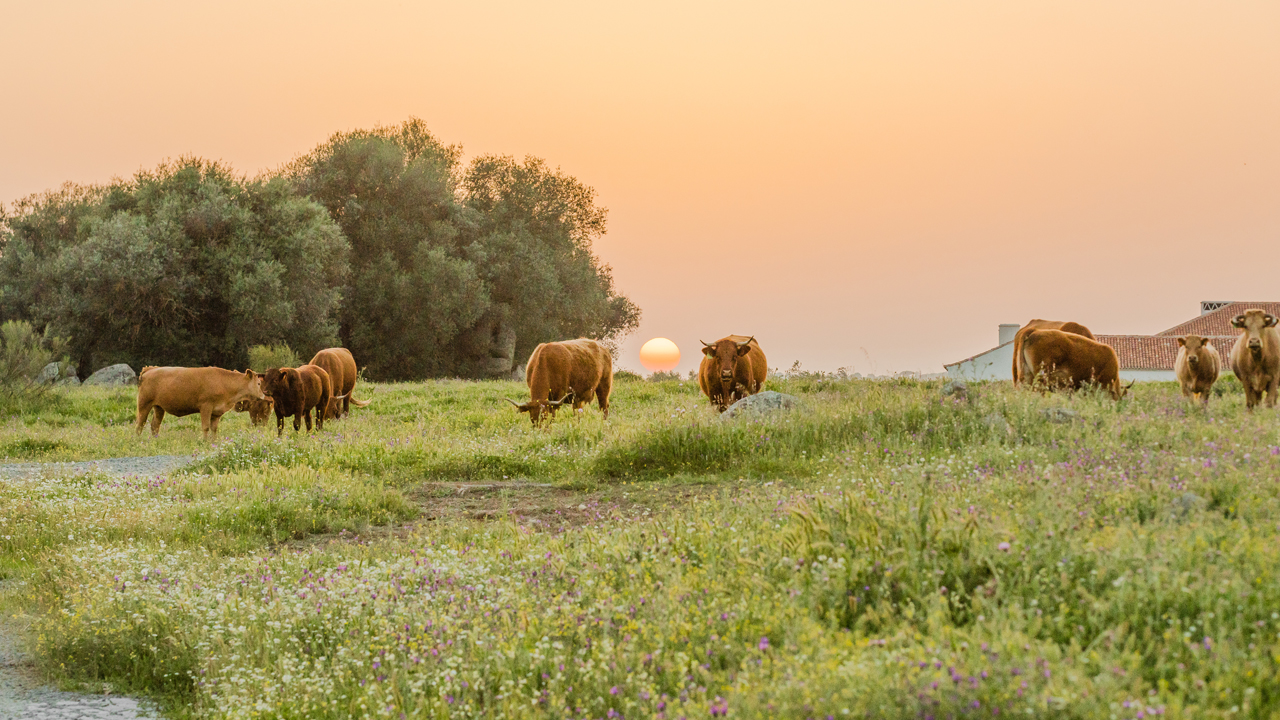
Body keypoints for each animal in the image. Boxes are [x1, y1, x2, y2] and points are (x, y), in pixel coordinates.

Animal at [135, 366, 267, 440]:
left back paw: (155, 440)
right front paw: (204, 441)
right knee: (140, 424)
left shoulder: (216, 412)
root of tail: (151, 369)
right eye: (258, 383)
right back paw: (137, 440)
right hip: (144, 404)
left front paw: (214, 442)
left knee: (155, 425)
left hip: (159, 407)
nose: (263, 395)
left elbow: (214, 428)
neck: (224, 383)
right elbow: (206, 427)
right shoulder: (205, 407)